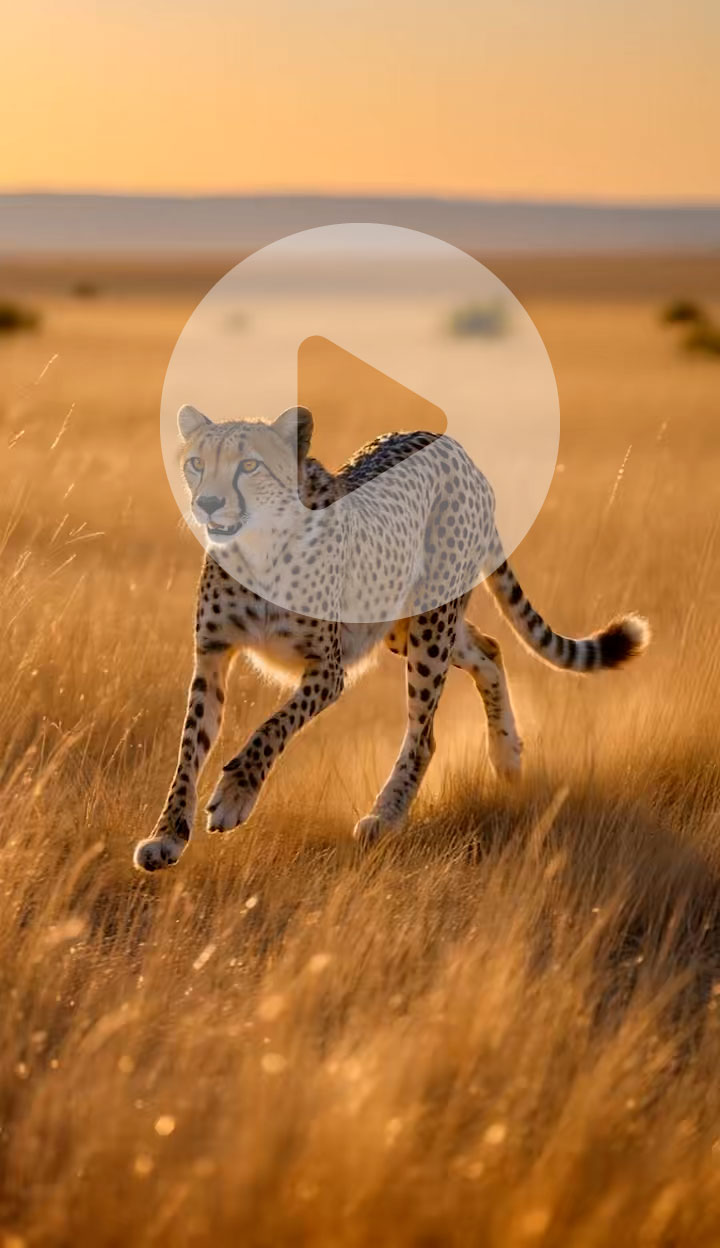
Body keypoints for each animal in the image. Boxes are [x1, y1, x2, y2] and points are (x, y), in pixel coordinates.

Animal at [133, 403, 650, 872]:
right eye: (196, 462)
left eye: (249, 465)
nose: (208, 503)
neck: (257, 549)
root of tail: (448, 442)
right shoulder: (212, 655)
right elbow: (188, 749)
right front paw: (167, 836)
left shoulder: (328, 671)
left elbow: (270, 728)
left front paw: (236, 794)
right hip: (407, 627)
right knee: (489, 649)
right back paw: (506, 757)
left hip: (429, 628)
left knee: (425, 736)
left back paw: (386, 815)